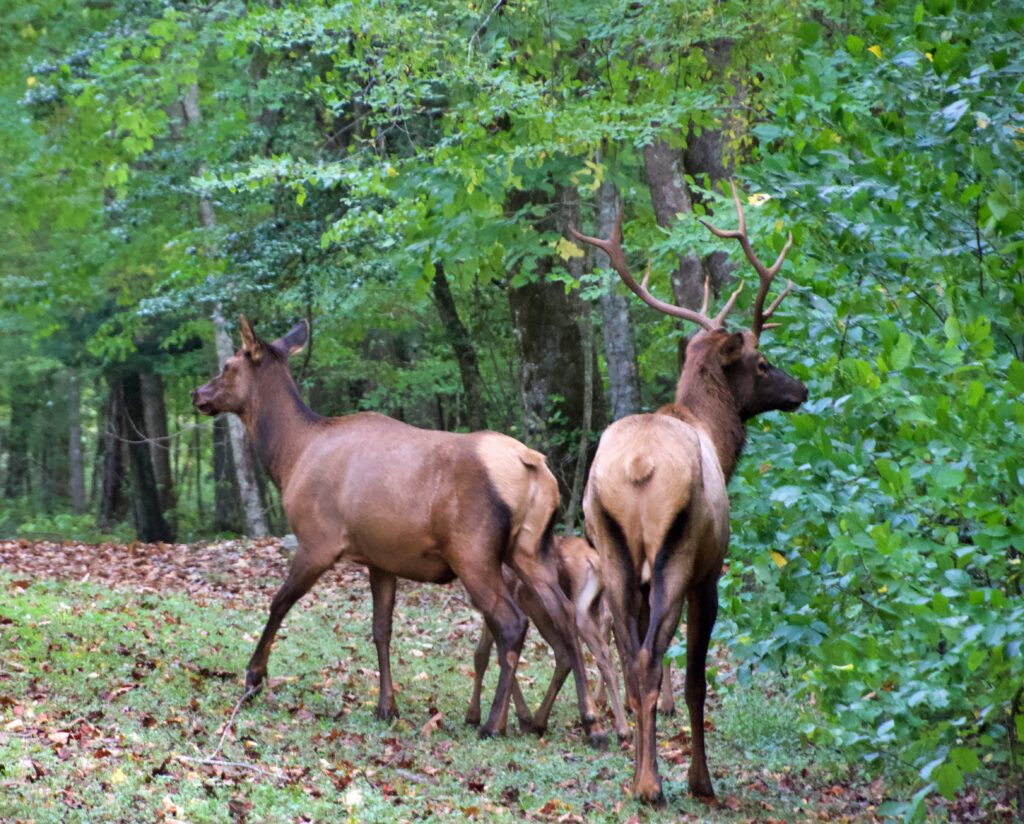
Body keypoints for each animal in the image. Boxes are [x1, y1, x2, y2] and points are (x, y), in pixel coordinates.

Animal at [191, 317, 606, 747]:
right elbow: (381, 629)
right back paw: (588, 723)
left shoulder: (317, 540)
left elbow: (279, 602)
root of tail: (533, 465)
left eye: (227, 365)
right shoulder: (380, 559)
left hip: (473, 551)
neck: (290, 458)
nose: (196, 394)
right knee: (566, 616)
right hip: (530, 549)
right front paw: (386, 706)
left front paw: (254, 678)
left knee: (511, 622)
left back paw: (495, 723)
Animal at [465, 535, 631, 742]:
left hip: (542, 606)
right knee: (602, 652)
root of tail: (593, 561)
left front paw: (478, 716)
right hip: (584, 611)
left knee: (574, 651)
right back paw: (622, 728)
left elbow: (485, 655)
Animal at [569, 180, 808, 804]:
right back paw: (655, 784)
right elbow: (698, 679)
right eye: (762, 361)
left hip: (612, 552)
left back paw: (637, 777)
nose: (801, 389)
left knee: (632, 659)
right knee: (651, 658)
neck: (716, 439)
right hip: (675, 554)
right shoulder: (710, 572)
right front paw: (701, 779)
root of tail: (636, 466)